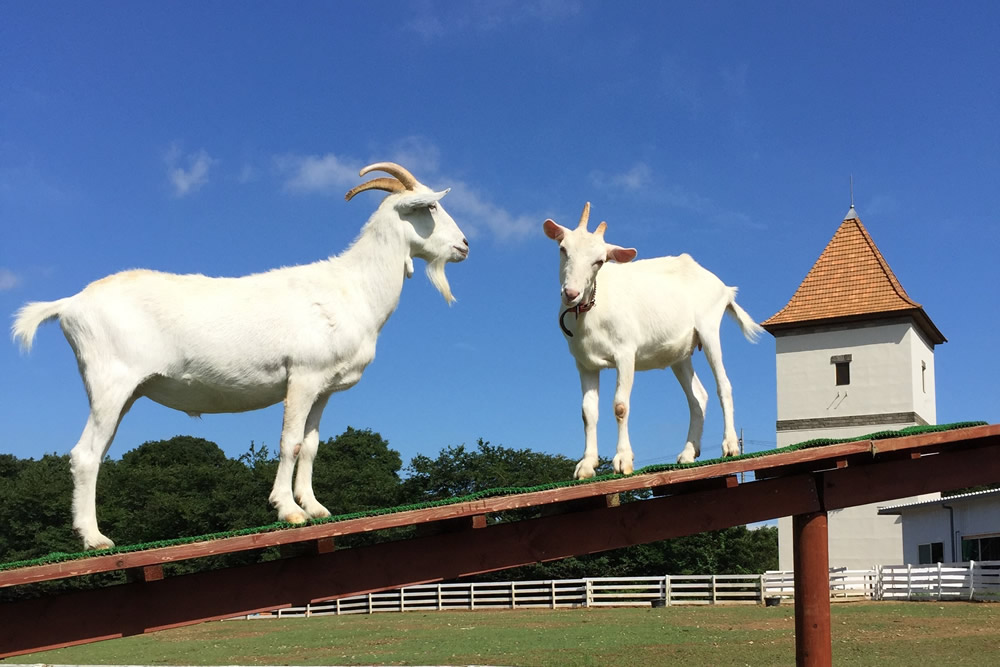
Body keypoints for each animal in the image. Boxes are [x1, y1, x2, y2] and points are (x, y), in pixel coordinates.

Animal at [11, 163, 470, 552]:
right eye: (430, 206)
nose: (464, 245)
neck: (351, 287)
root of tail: (70, 304)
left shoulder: (323, 388)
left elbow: (311, 445)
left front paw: (315, 507)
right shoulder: (302, 376)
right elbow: (289, 442)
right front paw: (288, 510)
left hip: (124, 393)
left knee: (99, 452)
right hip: (110, 382)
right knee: (85, 455)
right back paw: (95, 539)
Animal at [544, 201, 760, 478]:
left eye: (599, 261)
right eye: (563, 249)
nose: (571, 293)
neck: (593, 308)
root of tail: (723, 287)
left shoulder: (625, 354)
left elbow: (620, 406)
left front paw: (623, 460)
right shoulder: (584, 363)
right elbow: (588, 412)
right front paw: (587, 465)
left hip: (710, 328)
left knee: (724, 386)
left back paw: (730, 445)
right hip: (680, 354)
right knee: (697, 397)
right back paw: (688, 453)